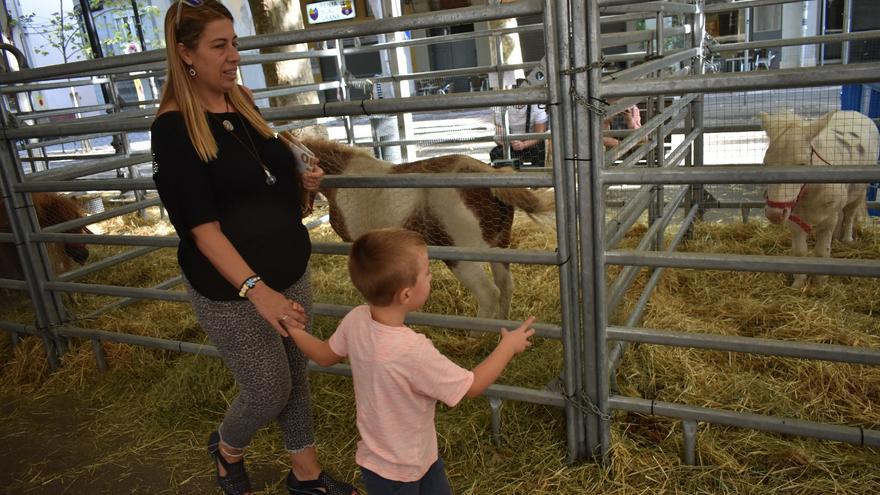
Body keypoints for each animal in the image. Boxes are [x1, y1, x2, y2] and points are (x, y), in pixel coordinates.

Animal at [300, 138, 552, 320]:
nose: (303, 211)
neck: (344, 177)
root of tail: (488, 175)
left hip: (463, 259)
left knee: (488, 294)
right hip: (498, 247)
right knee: (505, 287)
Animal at [760, 110, 876, 288]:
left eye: (802, 164)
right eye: (765, 163)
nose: (774, 214)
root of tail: (854, 112)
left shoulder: (828, 219)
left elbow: (821, 252)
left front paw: (820, 284)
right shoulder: (794, 218)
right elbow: (800, 252)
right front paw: (799, 284)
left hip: (858, 191)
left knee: (849, 214)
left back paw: (847, 239)